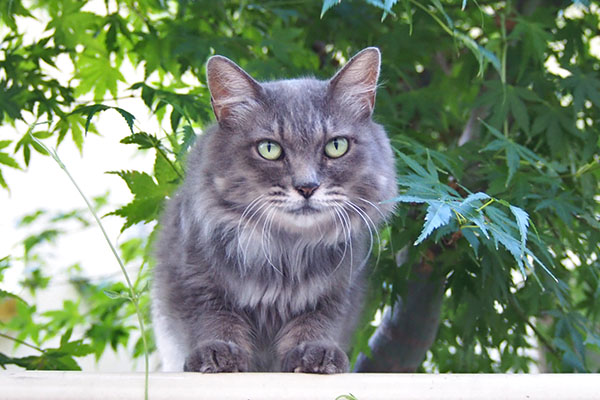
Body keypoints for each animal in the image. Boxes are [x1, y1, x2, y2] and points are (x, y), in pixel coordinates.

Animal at [151, 48, 398, 374]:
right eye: (269, 149)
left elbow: (314, 327)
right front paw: (219, 355)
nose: (307, 187)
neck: (285, 251)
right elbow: (215, 322)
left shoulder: (335, 295)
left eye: (336, 146)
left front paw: (314, 355)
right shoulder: (194, 284)